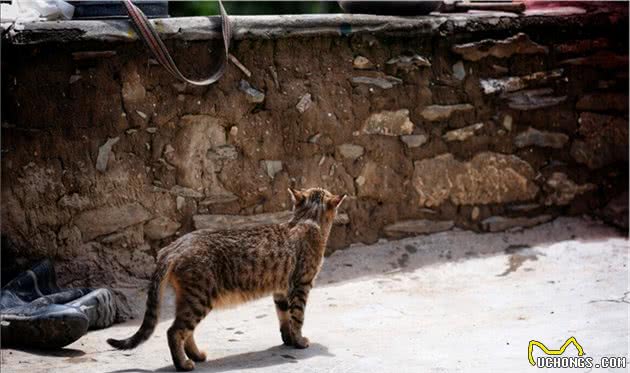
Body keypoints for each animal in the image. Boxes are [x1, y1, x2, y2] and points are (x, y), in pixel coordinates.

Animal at [107, 186, 346, 370]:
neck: (307, 220)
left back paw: (196, 356)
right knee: (174, 331)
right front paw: (299, 341)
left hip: (189, 299)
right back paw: (183, 364)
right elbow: (297, 318)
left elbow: (284, 318)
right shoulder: (301, 285)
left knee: (185, 331)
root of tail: (173, 247)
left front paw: (288, 340)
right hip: (199, 298)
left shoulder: (280, 291)